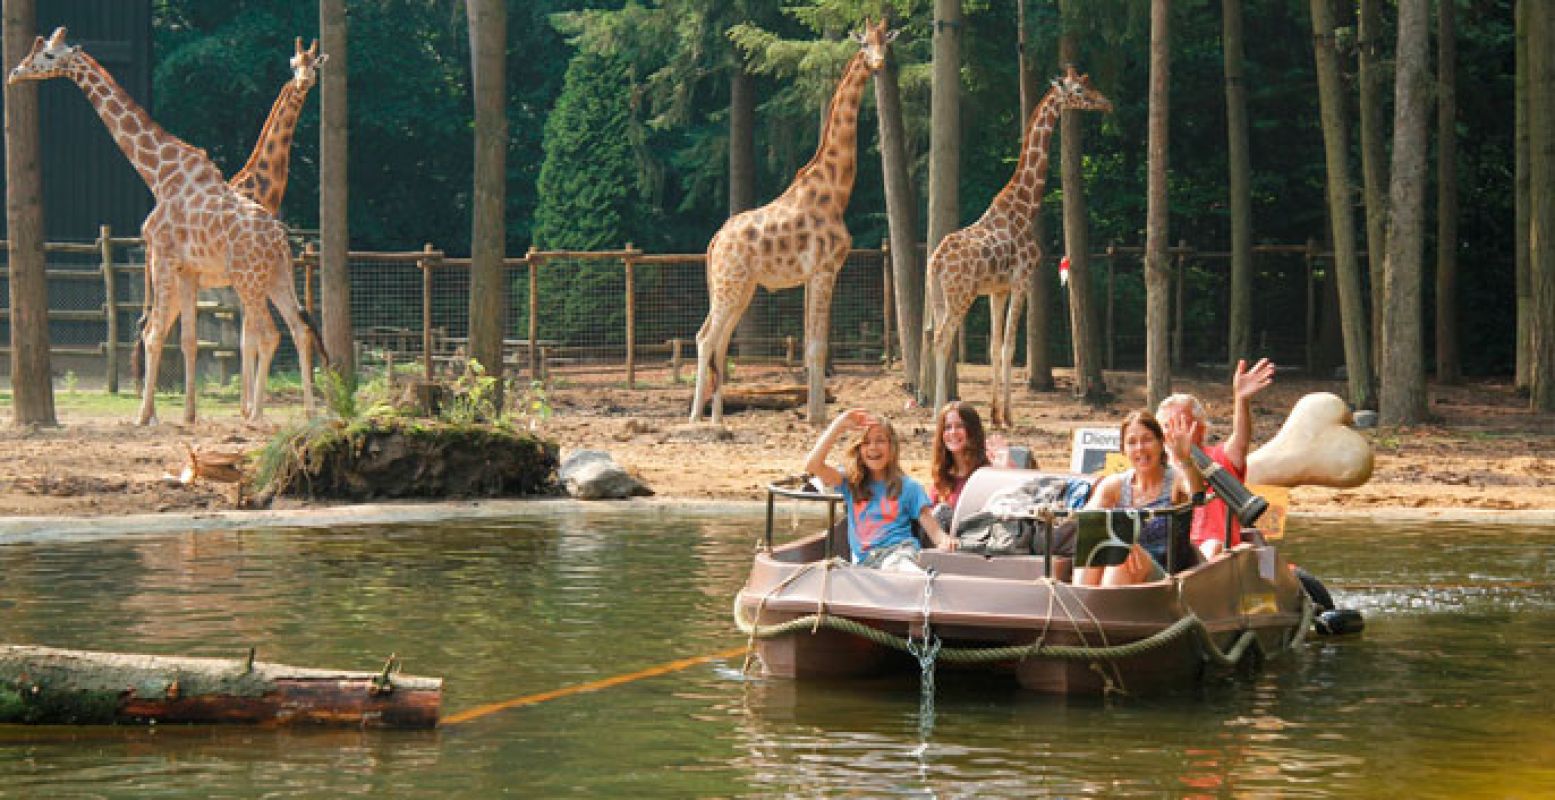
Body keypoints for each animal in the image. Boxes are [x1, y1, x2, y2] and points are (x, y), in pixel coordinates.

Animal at [8, 26, 324, 423]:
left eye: (48, 55)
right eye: (294, 63)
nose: (15, 72)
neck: (159, 174)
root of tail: (281, 239)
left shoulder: (164, 256)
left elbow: (164, 334)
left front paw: (143, 418)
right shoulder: (186, 269)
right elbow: (186, 338)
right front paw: (186, 415)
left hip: (247, 279)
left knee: (266, 333)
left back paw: (256, 415)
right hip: (275, 276)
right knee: (294, 328)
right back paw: (303, 412)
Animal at [690, 18, 895, 423]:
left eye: (886, 42)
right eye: (864, 44)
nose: (878, 63)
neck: (836, 191)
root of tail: (714, 241)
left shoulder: (817, 273)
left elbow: (814, 344)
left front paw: (816, 415)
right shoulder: (825, 268)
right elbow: (816, 346)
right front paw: (818, 419)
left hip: (740, 287)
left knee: (720, 342)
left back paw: (718, 420)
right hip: (730, 283)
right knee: (705, 338)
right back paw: (692, 420)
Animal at [926, 65, 1113, 426]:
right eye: (1080, 91)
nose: (1107, 103)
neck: (1026, 205)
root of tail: (936, 261)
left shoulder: (997, 289)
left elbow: (995, 346)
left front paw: (995, 414)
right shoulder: (1021, 279)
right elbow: (1010, 346)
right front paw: (1009, 417)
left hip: (941, 296)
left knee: (935, 337)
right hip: (961, 295)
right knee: (942, 340)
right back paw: (937, 413)